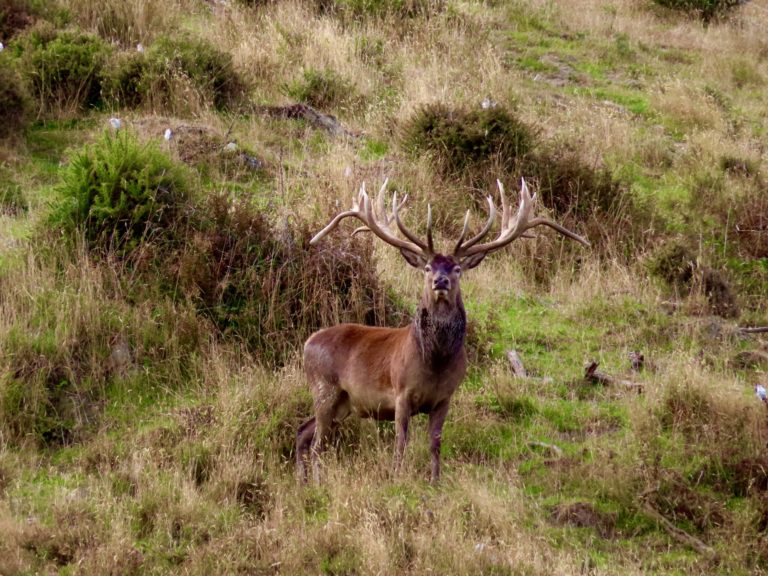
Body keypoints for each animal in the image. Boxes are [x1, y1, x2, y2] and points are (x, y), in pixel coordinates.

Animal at [296, 178, 589, 484]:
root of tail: (307, 342)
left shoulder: (445, 397)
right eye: (427, 267)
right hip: (324, 387)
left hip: (344, 402)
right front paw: (397, 478)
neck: (433, 363)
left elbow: (435, 443)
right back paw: (316, 481)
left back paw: (303, 480)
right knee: (316, 443)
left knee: (303, 431)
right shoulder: (401, 392)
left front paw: (435, 481)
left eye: (457, 268)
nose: (441, 280)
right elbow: (401, 442)